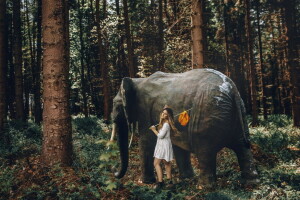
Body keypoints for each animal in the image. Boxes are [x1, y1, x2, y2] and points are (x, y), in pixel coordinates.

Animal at [111, 68, 258, 186]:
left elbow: (147, 141)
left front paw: (146, 182)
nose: (114, 173)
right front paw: (187, 179)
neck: (138, 81)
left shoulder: (144, 110)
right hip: (238, 114)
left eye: (116, 105)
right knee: (242, 146)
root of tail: (232, 89)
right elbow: (177, 145)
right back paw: (251, 183)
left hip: (208, 114)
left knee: (205, 151)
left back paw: (204, 187)